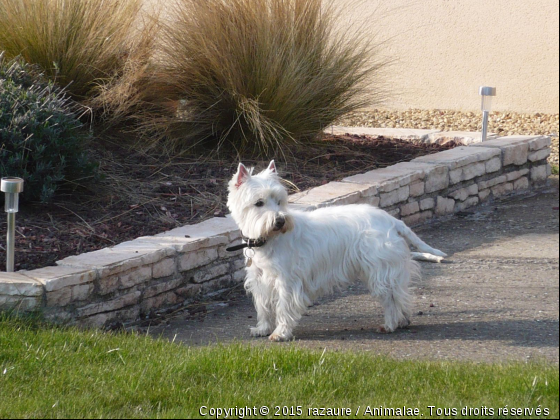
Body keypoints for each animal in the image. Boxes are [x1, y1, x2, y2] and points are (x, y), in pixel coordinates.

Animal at [228, 161, 446, 342]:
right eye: (259, 203)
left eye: (280, 201)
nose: (280, 221)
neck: (265, 240)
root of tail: (391, 220)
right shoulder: (259, 278)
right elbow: (263, 306)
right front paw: (262, 329)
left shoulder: (287, 280)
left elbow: (284, 307)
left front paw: (280, 333)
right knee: (401, 293)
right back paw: (402, 320)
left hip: (379, 270)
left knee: (390, 296)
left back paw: (390, 324)